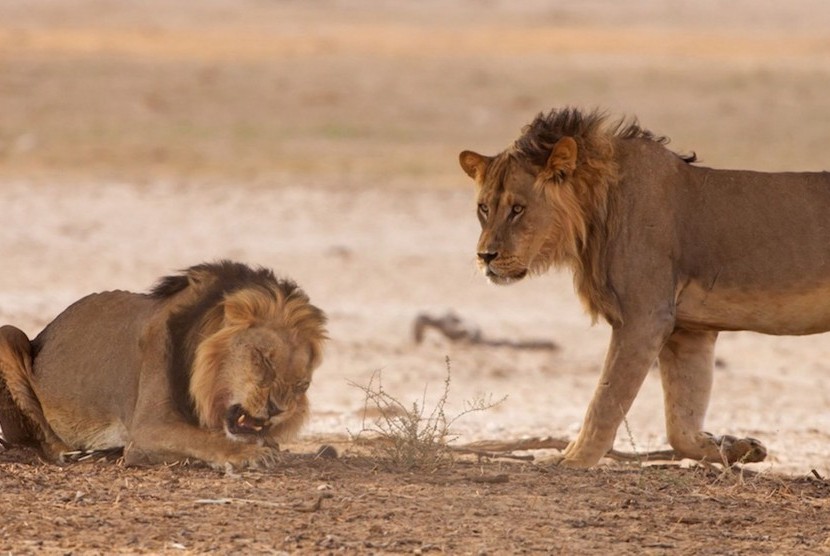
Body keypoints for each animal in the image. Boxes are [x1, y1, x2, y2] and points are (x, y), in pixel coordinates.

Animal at [0, 260, 328, 470]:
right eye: (262, 359)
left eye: (302, 385)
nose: (277, 410)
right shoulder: (148, 428)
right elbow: (202, 438)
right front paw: (247, 454)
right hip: (8, 332)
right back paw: (72, 454)